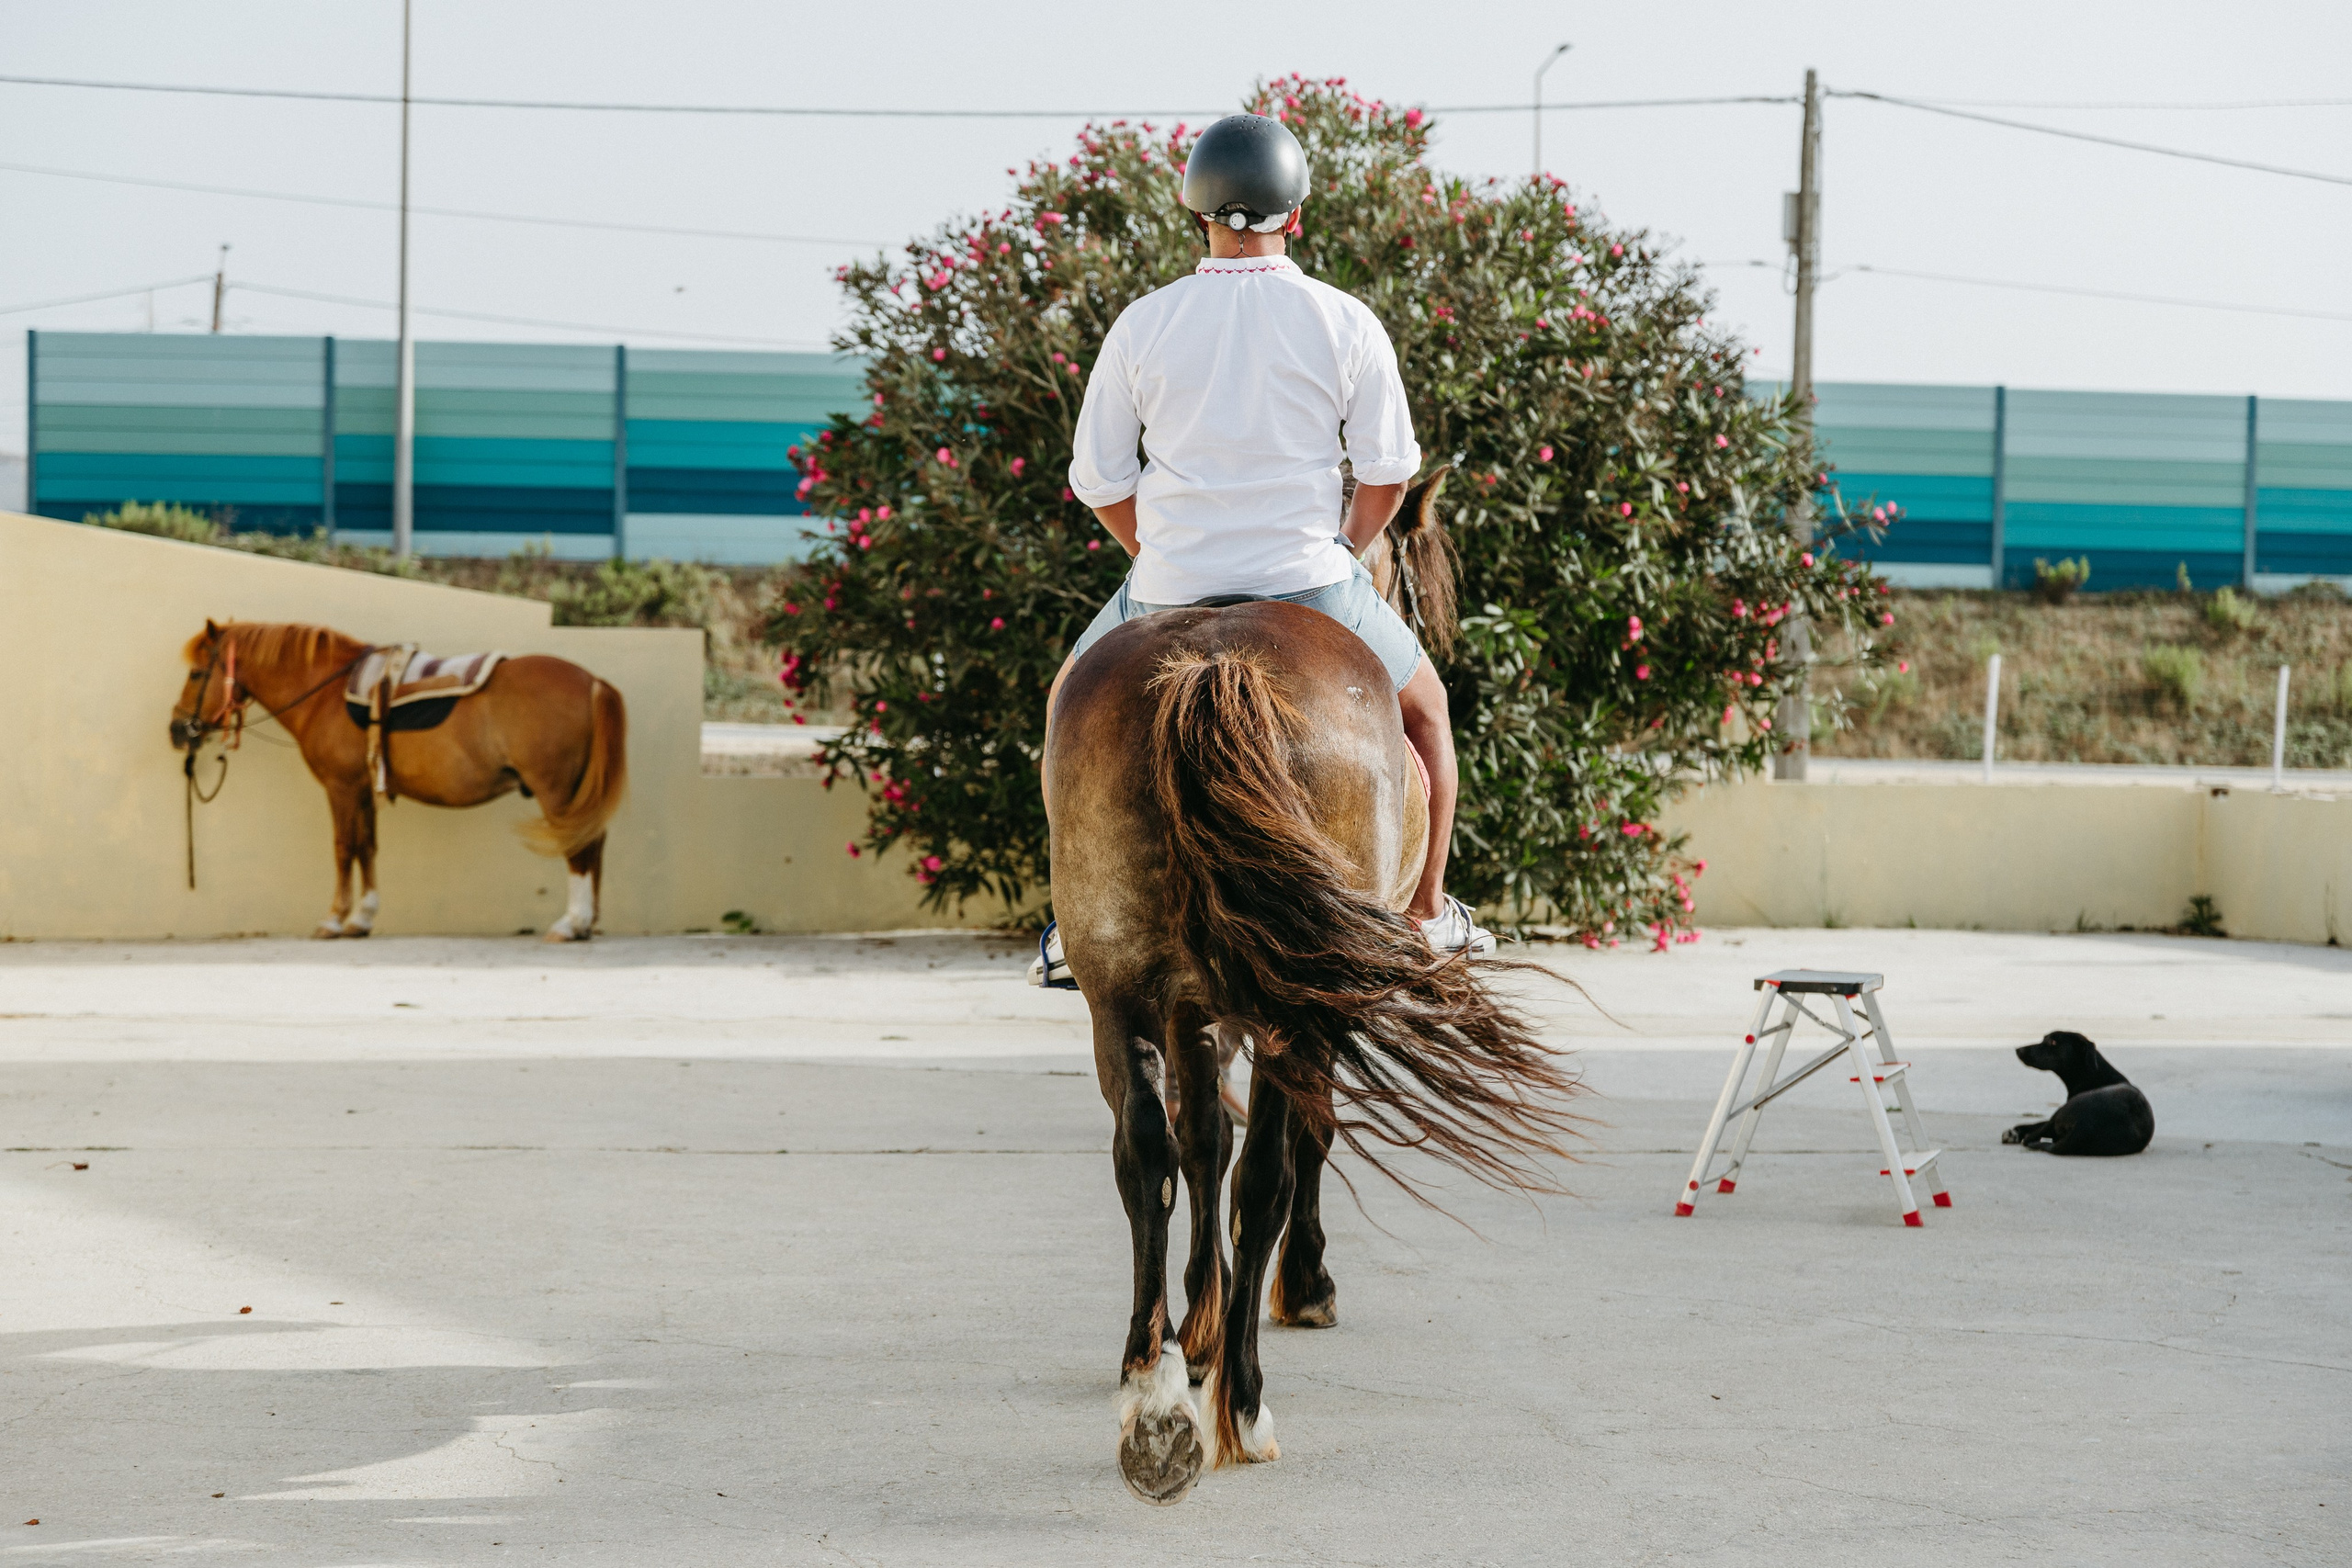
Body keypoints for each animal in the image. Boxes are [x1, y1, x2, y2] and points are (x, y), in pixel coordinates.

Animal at [169, 619, 627, 941]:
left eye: (196, 674)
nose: (177, 730)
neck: (328, 692)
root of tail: (593, 683)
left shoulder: (341, 787)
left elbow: (343, 848)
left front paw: (333, 920)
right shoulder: (363, 789)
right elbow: (367, 847)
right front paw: (362, 918)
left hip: (556, 790)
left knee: (578, 848)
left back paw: (571, 923)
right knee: (593, 841)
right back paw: (588, 922)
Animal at [1045, 473, 1584, 1505]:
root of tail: (1212, 664)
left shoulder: (1193, 1007)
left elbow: (1199, 1142)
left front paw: (1196, 1331)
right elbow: (1292, 1145)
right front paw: (1291, 1292)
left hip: (1116, 988)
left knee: (1148, 1156)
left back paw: (1152, 1395)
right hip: (1296, 1007)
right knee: (1266, 1172)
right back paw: (1241, 1407)